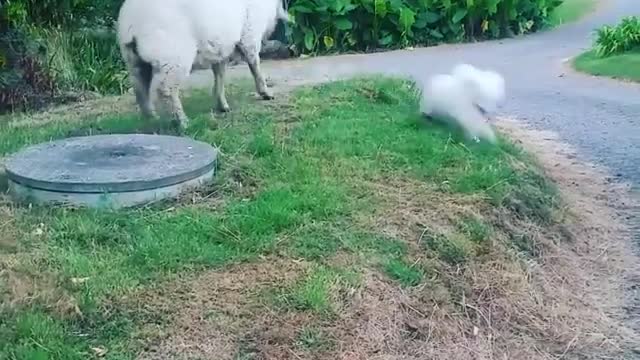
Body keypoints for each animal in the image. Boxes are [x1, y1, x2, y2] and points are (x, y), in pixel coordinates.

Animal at [116, 0, 288, 131]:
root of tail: (132, 23)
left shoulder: (220, 46)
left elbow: (220, 74)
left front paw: (222, 105)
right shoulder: (250, 34)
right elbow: (254, 64)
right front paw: (266, 93)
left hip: (134, 59)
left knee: (139, 87)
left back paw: (151, 117)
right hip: (173, 56)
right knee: (166, 89)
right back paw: (183, 122)